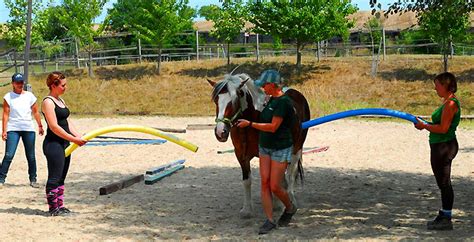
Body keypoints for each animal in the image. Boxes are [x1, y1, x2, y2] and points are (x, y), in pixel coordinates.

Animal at [207, 73, 312, 218]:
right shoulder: (241, 154)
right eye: (216, 100)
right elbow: (247, 180)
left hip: (297, 148)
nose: (220, 132)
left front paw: (275, 204)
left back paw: (290, 200)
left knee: (291, 173)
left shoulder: (266, 153)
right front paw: (247, 209)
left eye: (234, 101)